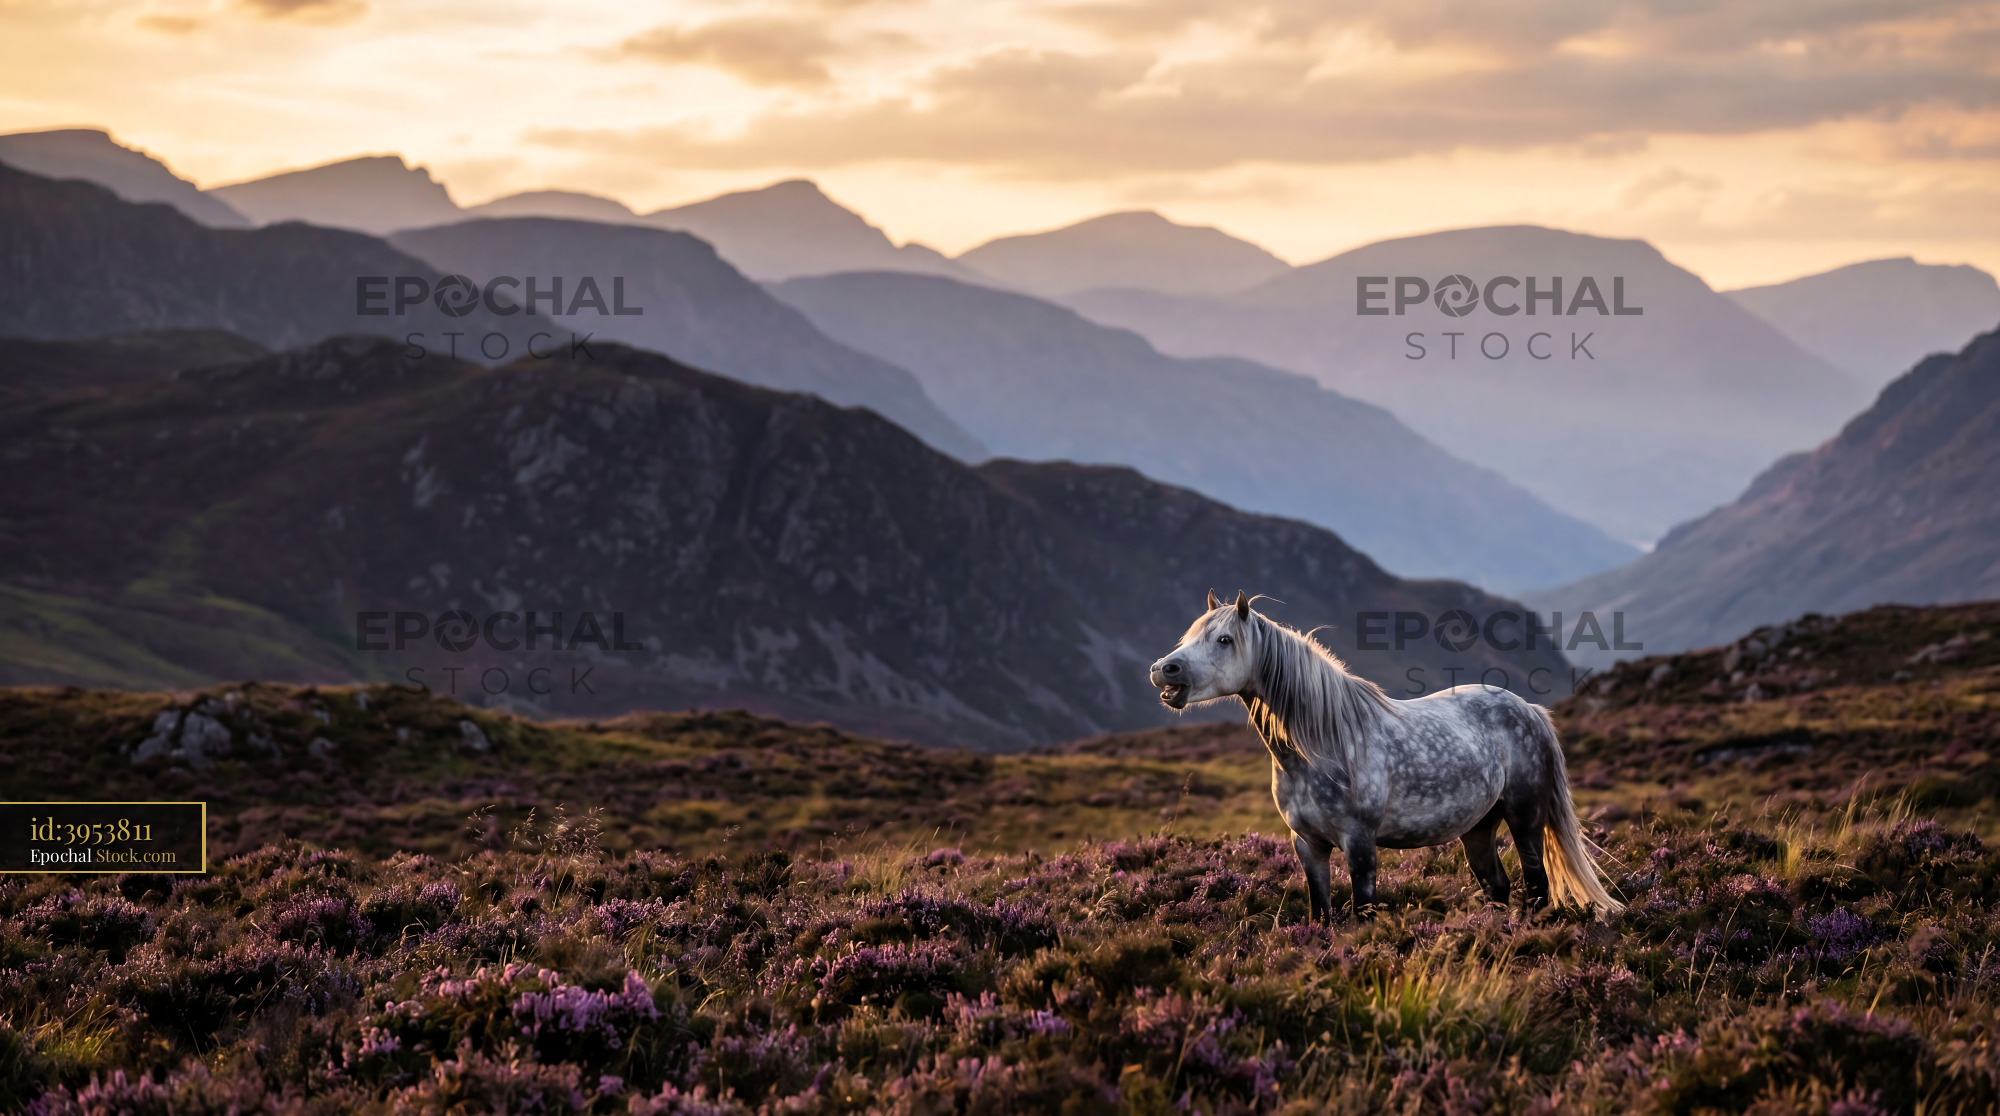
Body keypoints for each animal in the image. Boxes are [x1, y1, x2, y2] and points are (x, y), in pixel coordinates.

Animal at [1148, 591, 1622, 921]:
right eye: (1189, 635)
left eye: (1224, 639)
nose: (1162, 670)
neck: (1323, 746)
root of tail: (1529, 709)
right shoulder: (1308, 845)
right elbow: (1320, 914)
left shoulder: (1360, 844)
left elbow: (1363, 912)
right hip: (1477, 828)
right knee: (1498, 886)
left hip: (1525, 820)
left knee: (1537, 885)